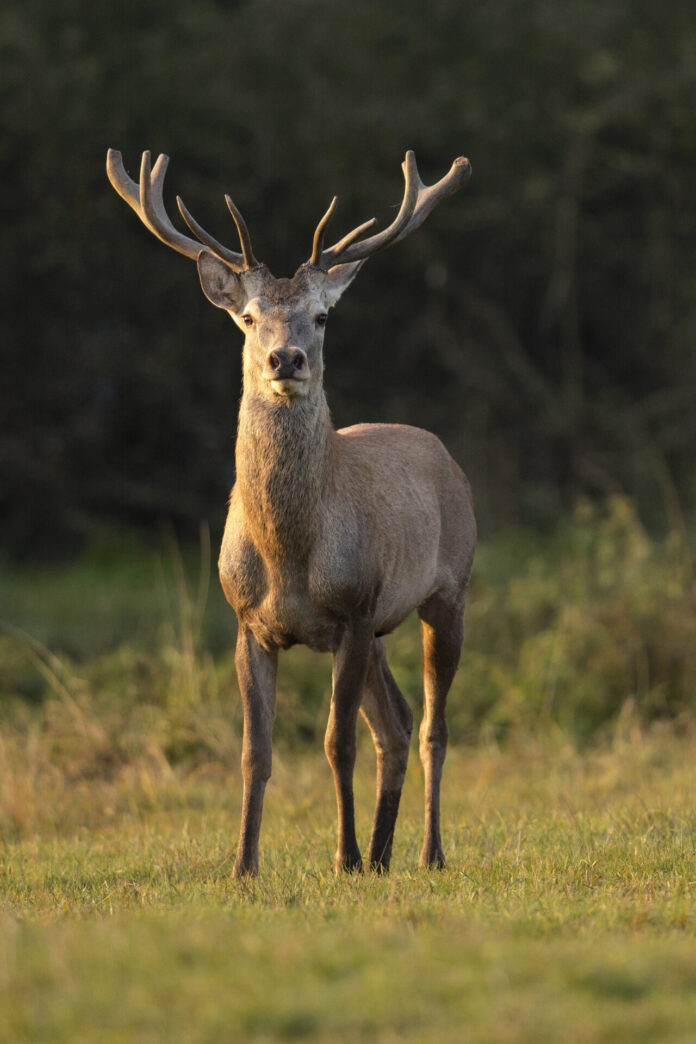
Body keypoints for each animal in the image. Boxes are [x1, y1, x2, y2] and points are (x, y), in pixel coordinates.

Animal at [106, 147, 475, 876]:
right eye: (249, 316)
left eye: (323, 316)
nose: (286, 358)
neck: (287, 554)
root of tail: (445, 454)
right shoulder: (249, 621)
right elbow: (257, 752)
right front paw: (243, 866)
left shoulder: (355, 608)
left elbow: (336, 743)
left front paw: (343, 858)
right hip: (383, 629)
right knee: (395, 725)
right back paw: (385, 854)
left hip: (447, 589)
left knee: (429, 727)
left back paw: (426, 852)